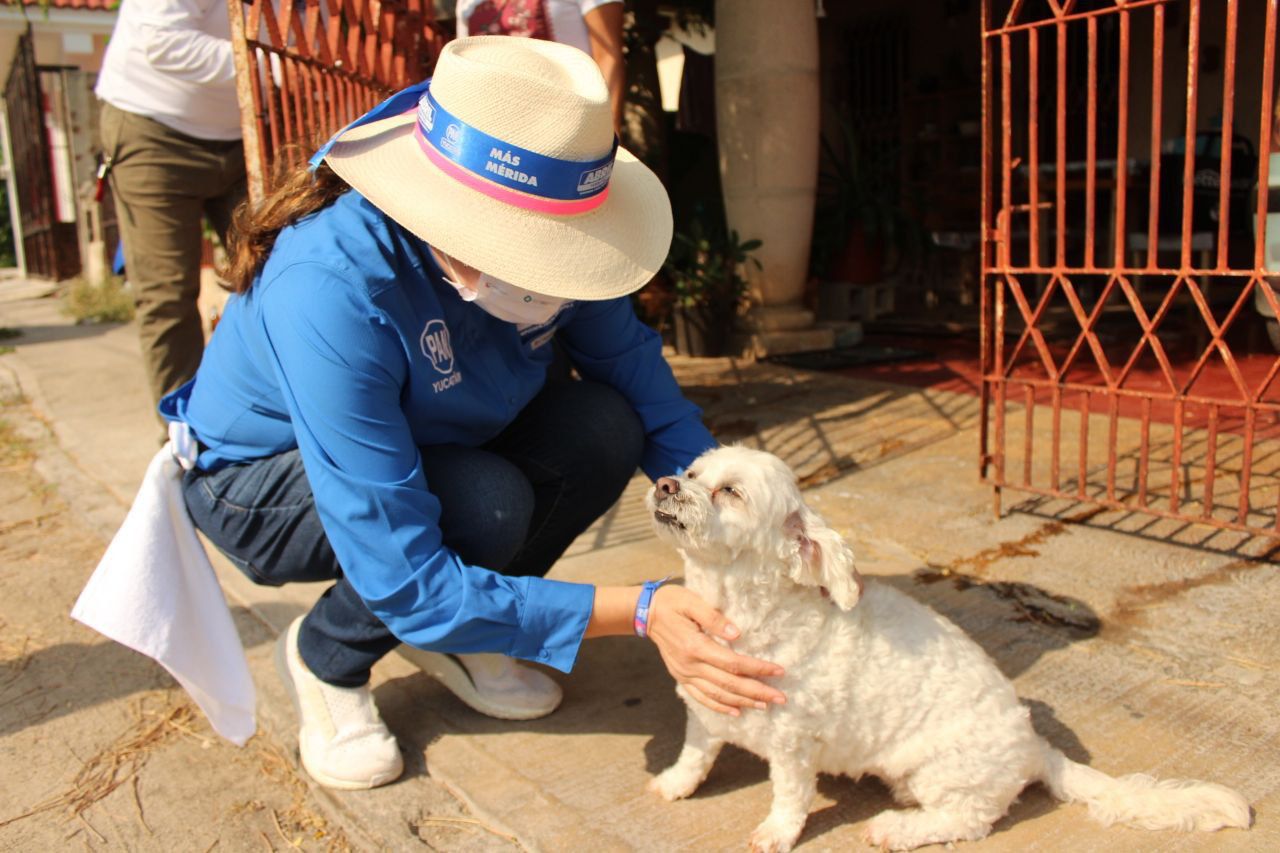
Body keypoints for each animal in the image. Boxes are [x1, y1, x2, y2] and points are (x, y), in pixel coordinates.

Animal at [645, 445, 1244, 850]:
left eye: (730, 492)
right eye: (693, 474)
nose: (666, 484)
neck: (743, 611)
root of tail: (1034, 748)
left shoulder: (795, 745)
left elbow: (790, 798)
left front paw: (775, 833)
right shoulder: (702, 710)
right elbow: (694, 756)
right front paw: (675, 783)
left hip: (944, 770)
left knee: (971, 820)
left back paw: (899, 827)